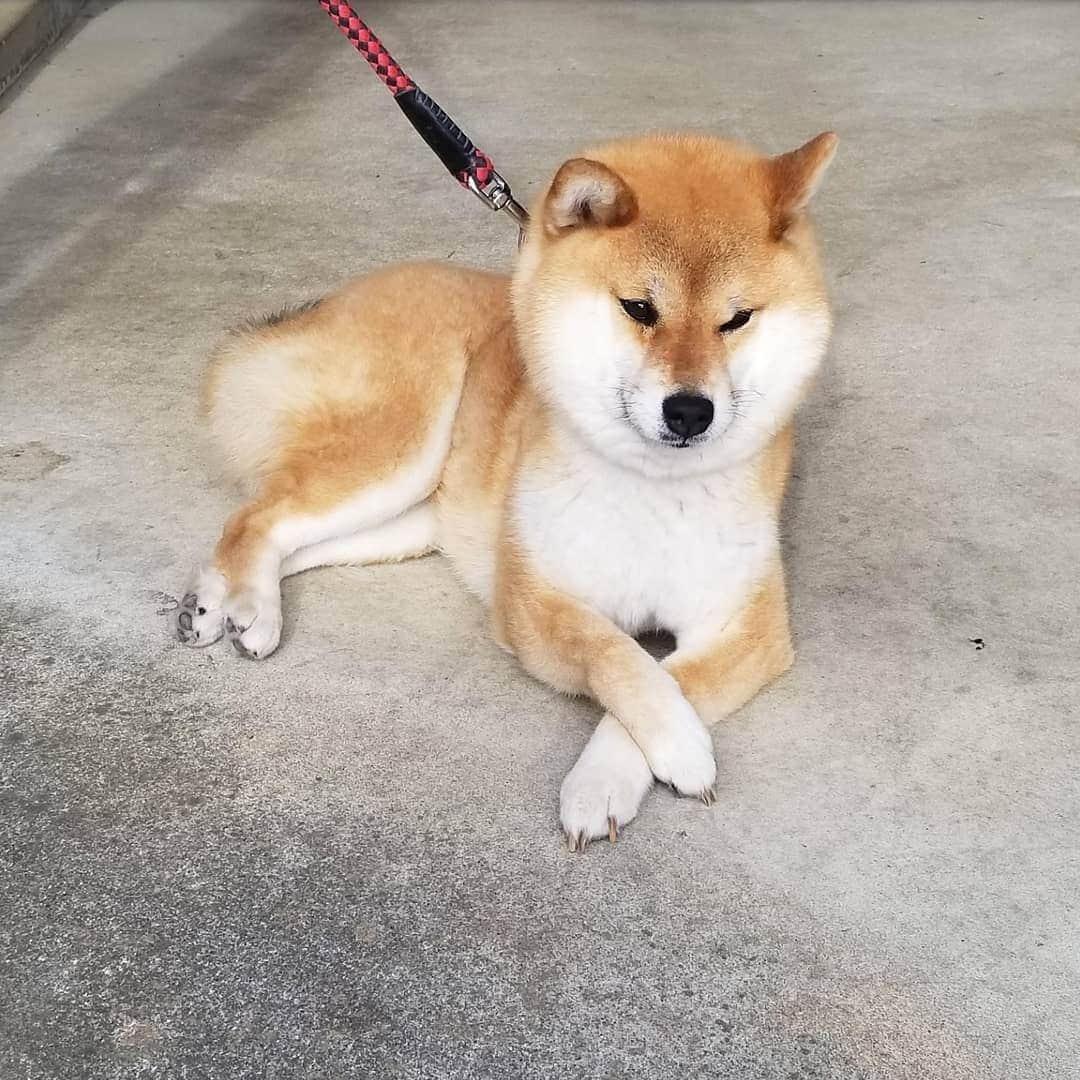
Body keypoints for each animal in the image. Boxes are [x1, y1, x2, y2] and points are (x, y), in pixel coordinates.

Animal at [172, 128, 838, 851]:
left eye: (736, 320)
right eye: (639, 308)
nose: (690, 411)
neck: (650, 488)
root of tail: (331, 302)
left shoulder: (748, 627)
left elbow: (673, 673)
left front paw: (609, 776)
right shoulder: (532, 603)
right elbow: (619, 657)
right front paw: (674, 745)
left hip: (412, 521)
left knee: (283, 535)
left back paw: (218, 603)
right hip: (401, 452)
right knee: (257, 516)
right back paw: (247, 607)